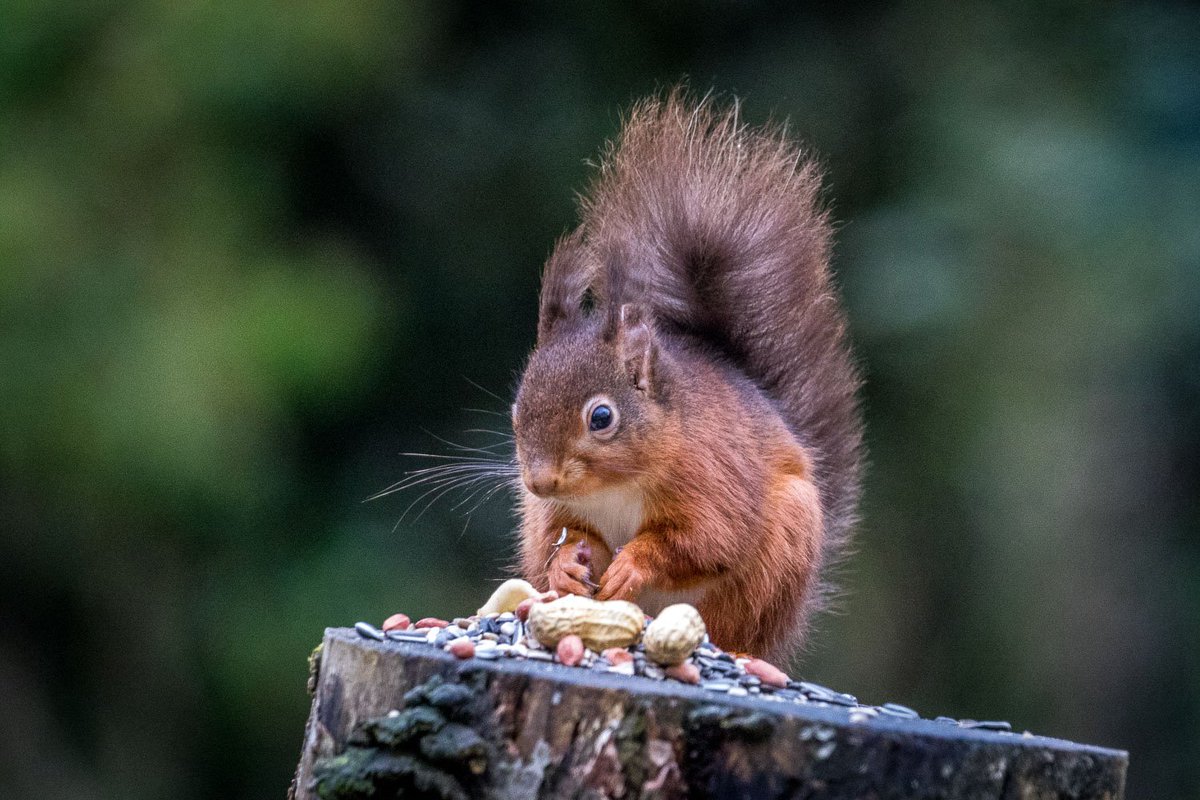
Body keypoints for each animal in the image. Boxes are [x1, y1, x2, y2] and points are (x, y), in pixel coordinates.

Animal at [511, 90, 859, 662]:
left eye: (601, 417)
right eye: (515, 410)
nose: (538, 482)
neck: (617, 486)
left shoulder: (711, 476)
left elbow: (704, 541)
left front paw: (633, 564)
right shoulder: (555, 513)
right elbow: (554, 538)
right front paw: (564, 565)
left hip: (773, 565)